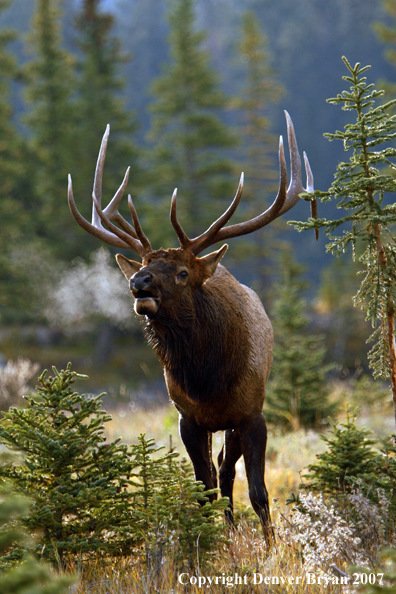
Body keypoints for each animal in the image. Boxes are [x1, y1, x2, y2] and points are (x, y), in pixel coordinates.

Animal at [69, 108, 316, 540]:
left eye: (183, 272)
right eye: (146, 264)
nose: (139, 282)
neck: (208, 378)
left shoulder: (252, 414)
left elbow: (259, 492)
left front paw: (269, 545)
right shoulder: (188, 418)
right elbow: (205, 490)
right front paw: (212, 540)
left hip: (236, 421)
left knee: (228, 470)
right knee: (220, 474)